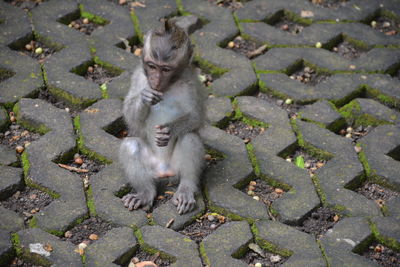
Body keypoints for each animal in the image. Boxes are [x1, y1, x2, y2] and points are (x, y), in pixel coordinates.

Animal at [118, 19, 206, 216]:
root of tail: (164, 170)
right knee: (130, 145)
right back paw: (144, 193)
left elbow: (197, 116)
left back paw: (186, 189)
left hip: (176, 167)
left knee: (189, 138)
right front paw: (145, 98)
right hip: (151, 167)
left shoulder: (191, 80)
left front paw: (169, 130)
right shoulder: (139, 77)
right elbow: (130, 116)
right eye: (152, 66)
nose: (155, 81)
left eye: (165, 69)